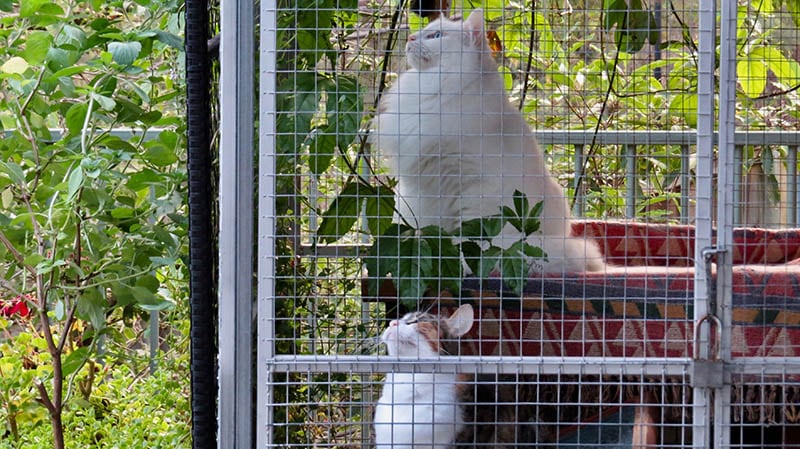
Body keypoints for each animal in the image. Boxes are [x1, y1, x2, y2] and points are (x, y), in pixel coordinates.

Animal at [372, 8, 604, 272]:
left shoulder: (474, 189)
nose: (410, 38)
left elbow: (468, 239)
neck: (435, 88)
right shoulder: (424, 189)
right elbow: (430, 227)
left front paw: (461, 265)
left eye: (436, 35)